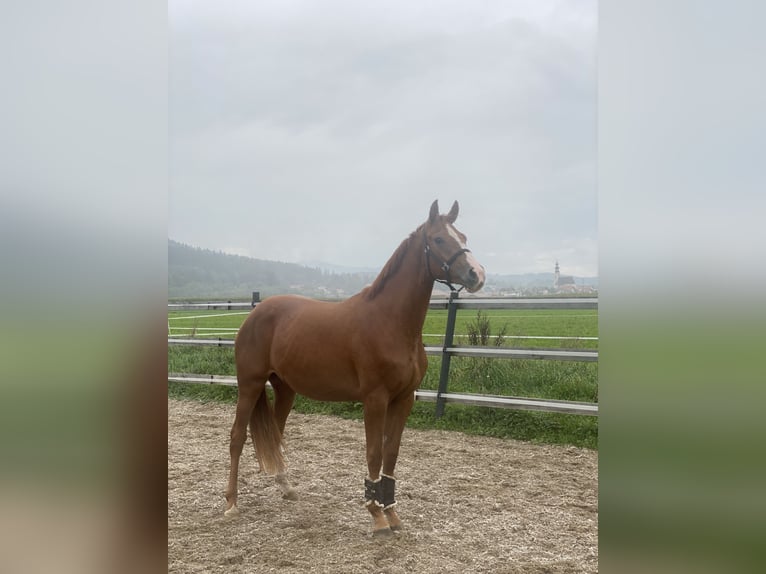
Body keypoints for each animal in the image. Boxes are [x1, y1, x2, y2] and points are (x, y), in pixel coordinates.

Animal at [224, 200, 486, 536]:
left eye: (462, 236)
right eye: (439, 239)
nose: (477, 274)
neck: (391, 323)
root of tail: (255, 314)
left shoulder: (403, 400)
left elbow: (391, 453)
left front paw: (392, 513)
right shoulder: (375, 400)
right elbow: (374, 453)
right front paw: (376, 516)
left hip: (285, 389)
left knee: (276, 434)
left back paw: (286, 488)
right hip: (250, 384)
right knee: (237, 437)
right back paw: (231, 502)